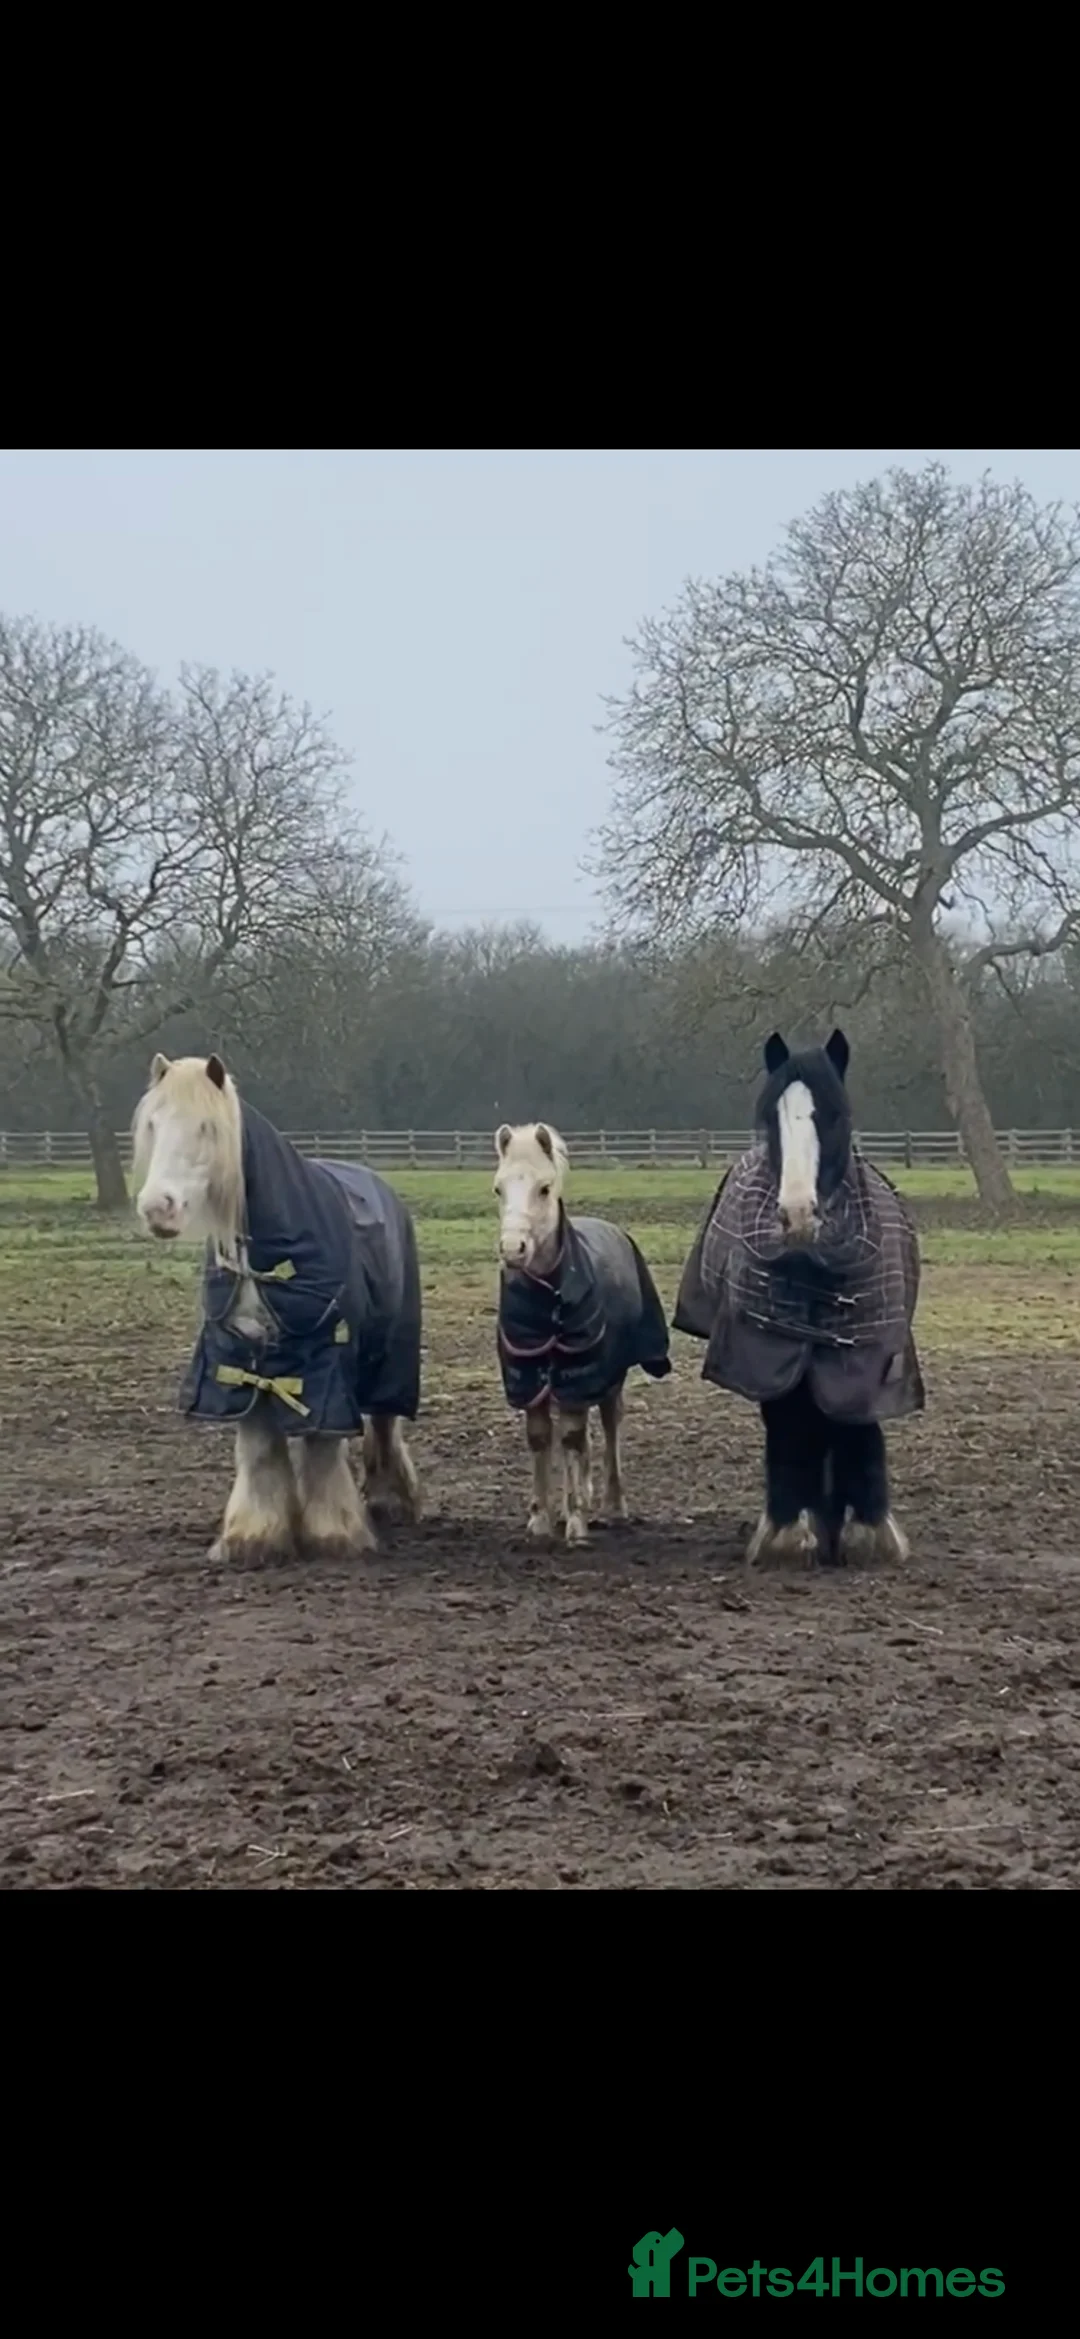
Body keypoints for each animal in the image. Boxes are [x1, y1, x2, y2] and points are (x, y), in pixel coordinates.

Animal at [131, 1053, 421, 1565]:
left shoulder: (324, 1362)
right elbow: (260, 1448)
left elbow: (323, 1448)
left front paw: (335, 1535)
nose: (156, 1208)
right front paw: (255, 1538)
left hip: (389, 1356)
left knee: (385, 1423)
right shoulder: (237, 1358)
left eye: (207, 1127)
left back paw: (391, 1502)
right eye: (153, 1124)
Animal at [492, 1121, 672, 1545]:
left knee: (608, 1425)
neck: (548, 1300)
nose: (512, 1249)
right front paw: (541, 1519)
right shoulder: (529, 1374)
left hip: (610, 1376)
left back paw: (612, 1506)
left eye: (544, 1188)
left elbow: (574, 1438)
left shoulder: (582, 1368)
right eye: (498, 1189)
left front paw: (576, 1522)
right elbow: (542, 1437)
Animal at [673, 1028, 924, 1569]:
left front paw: (869, 1530)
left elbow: (858, 1424)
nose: (797, 1216)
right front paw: (790, 1530)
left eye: (835, 1114)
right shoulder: (769, 1353)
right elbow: (789, 1425)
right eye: (770, 1118)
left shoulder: (868, 1358)